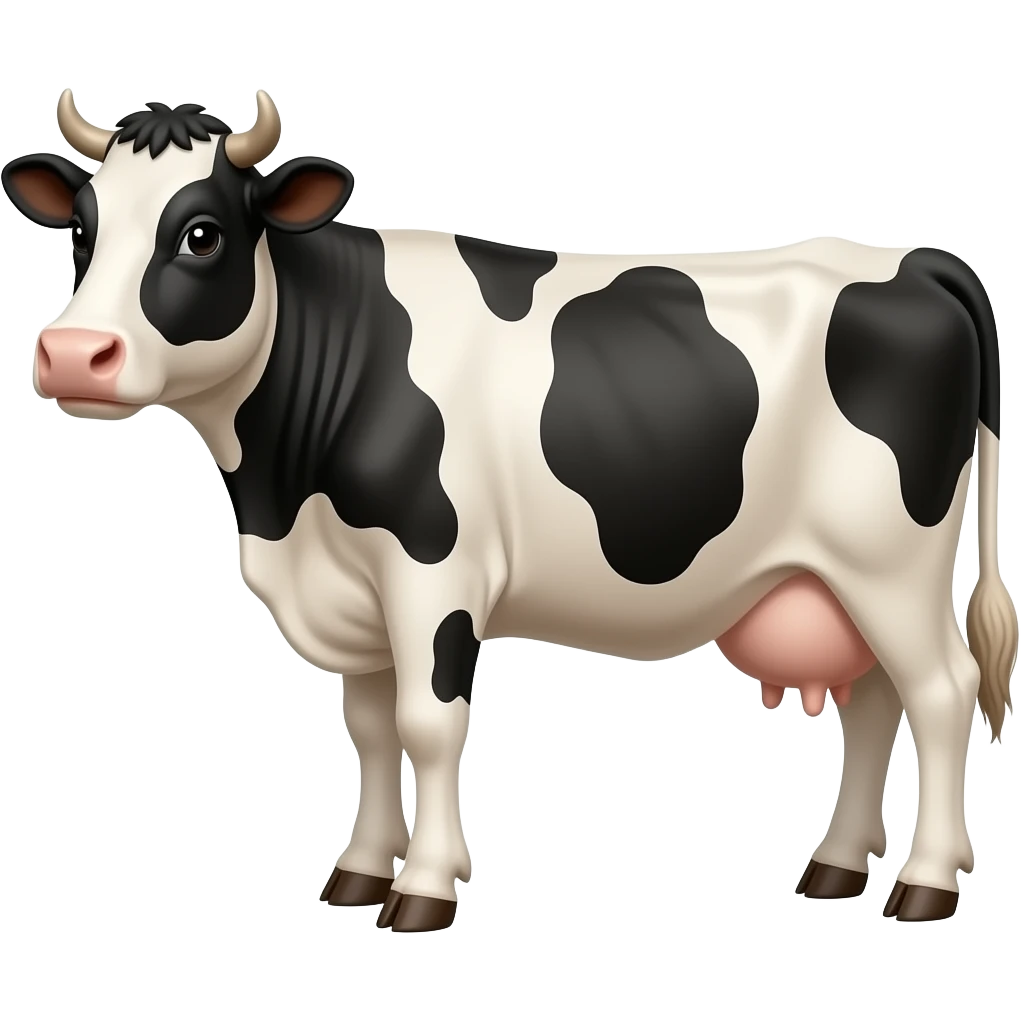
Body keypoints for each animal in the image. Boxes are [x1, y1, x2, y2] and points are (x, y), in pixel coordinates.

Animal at [3, 90, 1015, 933]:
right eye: (82, 230)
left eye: (202, 234)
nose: (72, 354)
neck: (284, 499)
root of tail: (911, 259)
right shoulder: (355, 588)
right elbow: (370, 727)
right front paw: (359, 872)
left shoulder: (431, 568)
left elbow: (427, 723)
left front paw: (421, 890)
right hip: (838, 575)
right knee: (874, 699)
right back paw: (835, 867)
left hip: (891, 558)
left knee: (940, 691)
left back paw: (923, 884)